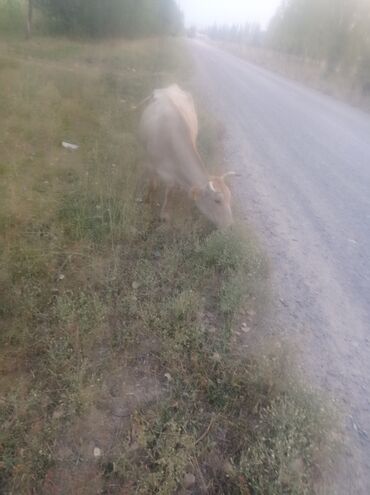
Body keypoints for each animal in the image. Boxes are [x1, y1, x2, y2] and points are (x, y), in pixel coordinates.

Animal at [137, 85, 236, 231]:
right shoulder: (152, 164)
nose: (229, 225)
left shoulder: (174, 178)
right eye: (217, 200)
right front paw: (147, 201)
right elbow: (152, 186)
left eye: (230, 198)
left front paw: (164, 215)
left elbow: (170, 193)